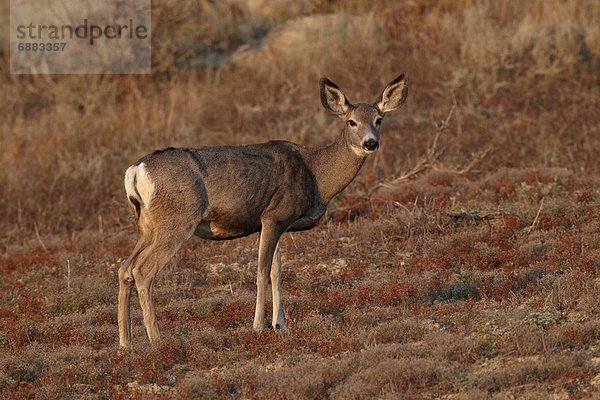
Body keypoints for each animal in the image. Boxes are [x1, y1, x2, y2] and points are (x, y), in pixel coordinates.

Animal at [118, 74, 408, 346]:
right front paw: (258, 326)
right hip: (177, 220)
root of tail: (136, 171)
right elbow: (261, 273)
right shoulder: (274, 215)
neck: (316, 175)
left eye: (379, 119)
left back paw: (125, 342)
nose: (370, 143)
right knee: (143, 271)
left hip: (147, 225)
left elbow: (276, 272)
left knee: (125, 268)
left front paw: (281, 325)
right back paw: (157, 339)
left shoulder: (274, 222)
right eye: (352, 122)